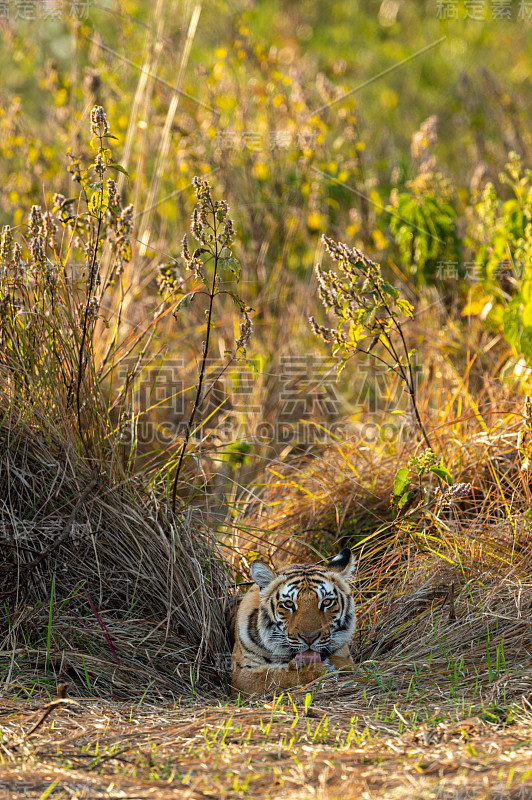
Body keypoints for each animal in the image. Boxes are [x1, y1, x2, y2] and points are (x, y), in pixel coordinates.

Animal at [230, 552, 358, 692]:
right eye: (289, 604)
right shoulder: (242, 675)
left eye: (326, 602)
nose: (309, 638)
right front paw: (319, 670)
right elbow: (276, 676)